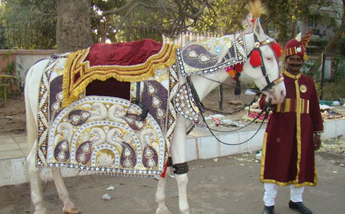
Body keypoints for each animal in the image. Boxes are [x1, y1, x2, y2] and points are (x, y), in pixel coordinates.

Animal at [24, 2, 284, 214]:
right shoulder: (175, 131)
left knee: (50, 162)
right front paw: (184, 209)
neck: (186, 73)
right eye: (269, 58)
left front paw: (161, 206)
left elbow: (165, 170)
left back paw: (67, 203)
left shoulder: (167, 130)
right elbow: (181, 175)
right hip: (47, 126)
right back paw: (39, 207)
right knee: (31, 162)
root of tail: (38, 65)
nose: (282, 93)